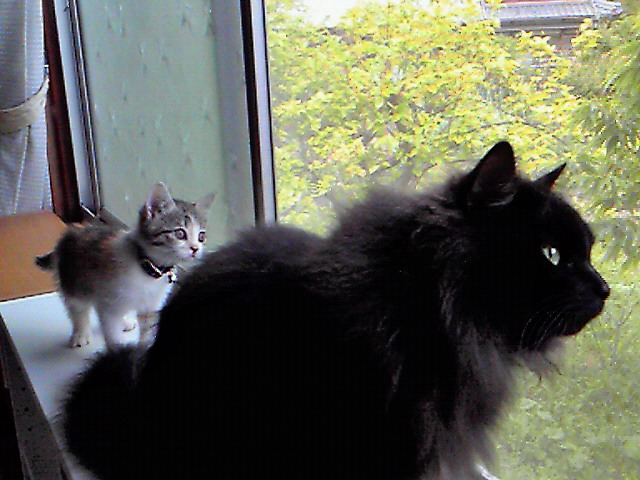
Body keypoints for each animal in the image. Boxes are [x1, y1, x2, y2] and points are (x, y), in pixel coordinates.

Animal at [37, 183, 214, 349]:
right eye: (180, 233)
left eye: (201, 236)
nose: (195, 249)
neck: (147, 269)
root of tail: (71, 231)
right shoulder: (109, 305)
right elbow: (114, 336)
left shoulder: (151, 307)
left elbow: (148, 332)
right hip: (74, 280)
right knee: (77, 308)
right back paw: (80, 333)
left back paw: (125, 321)